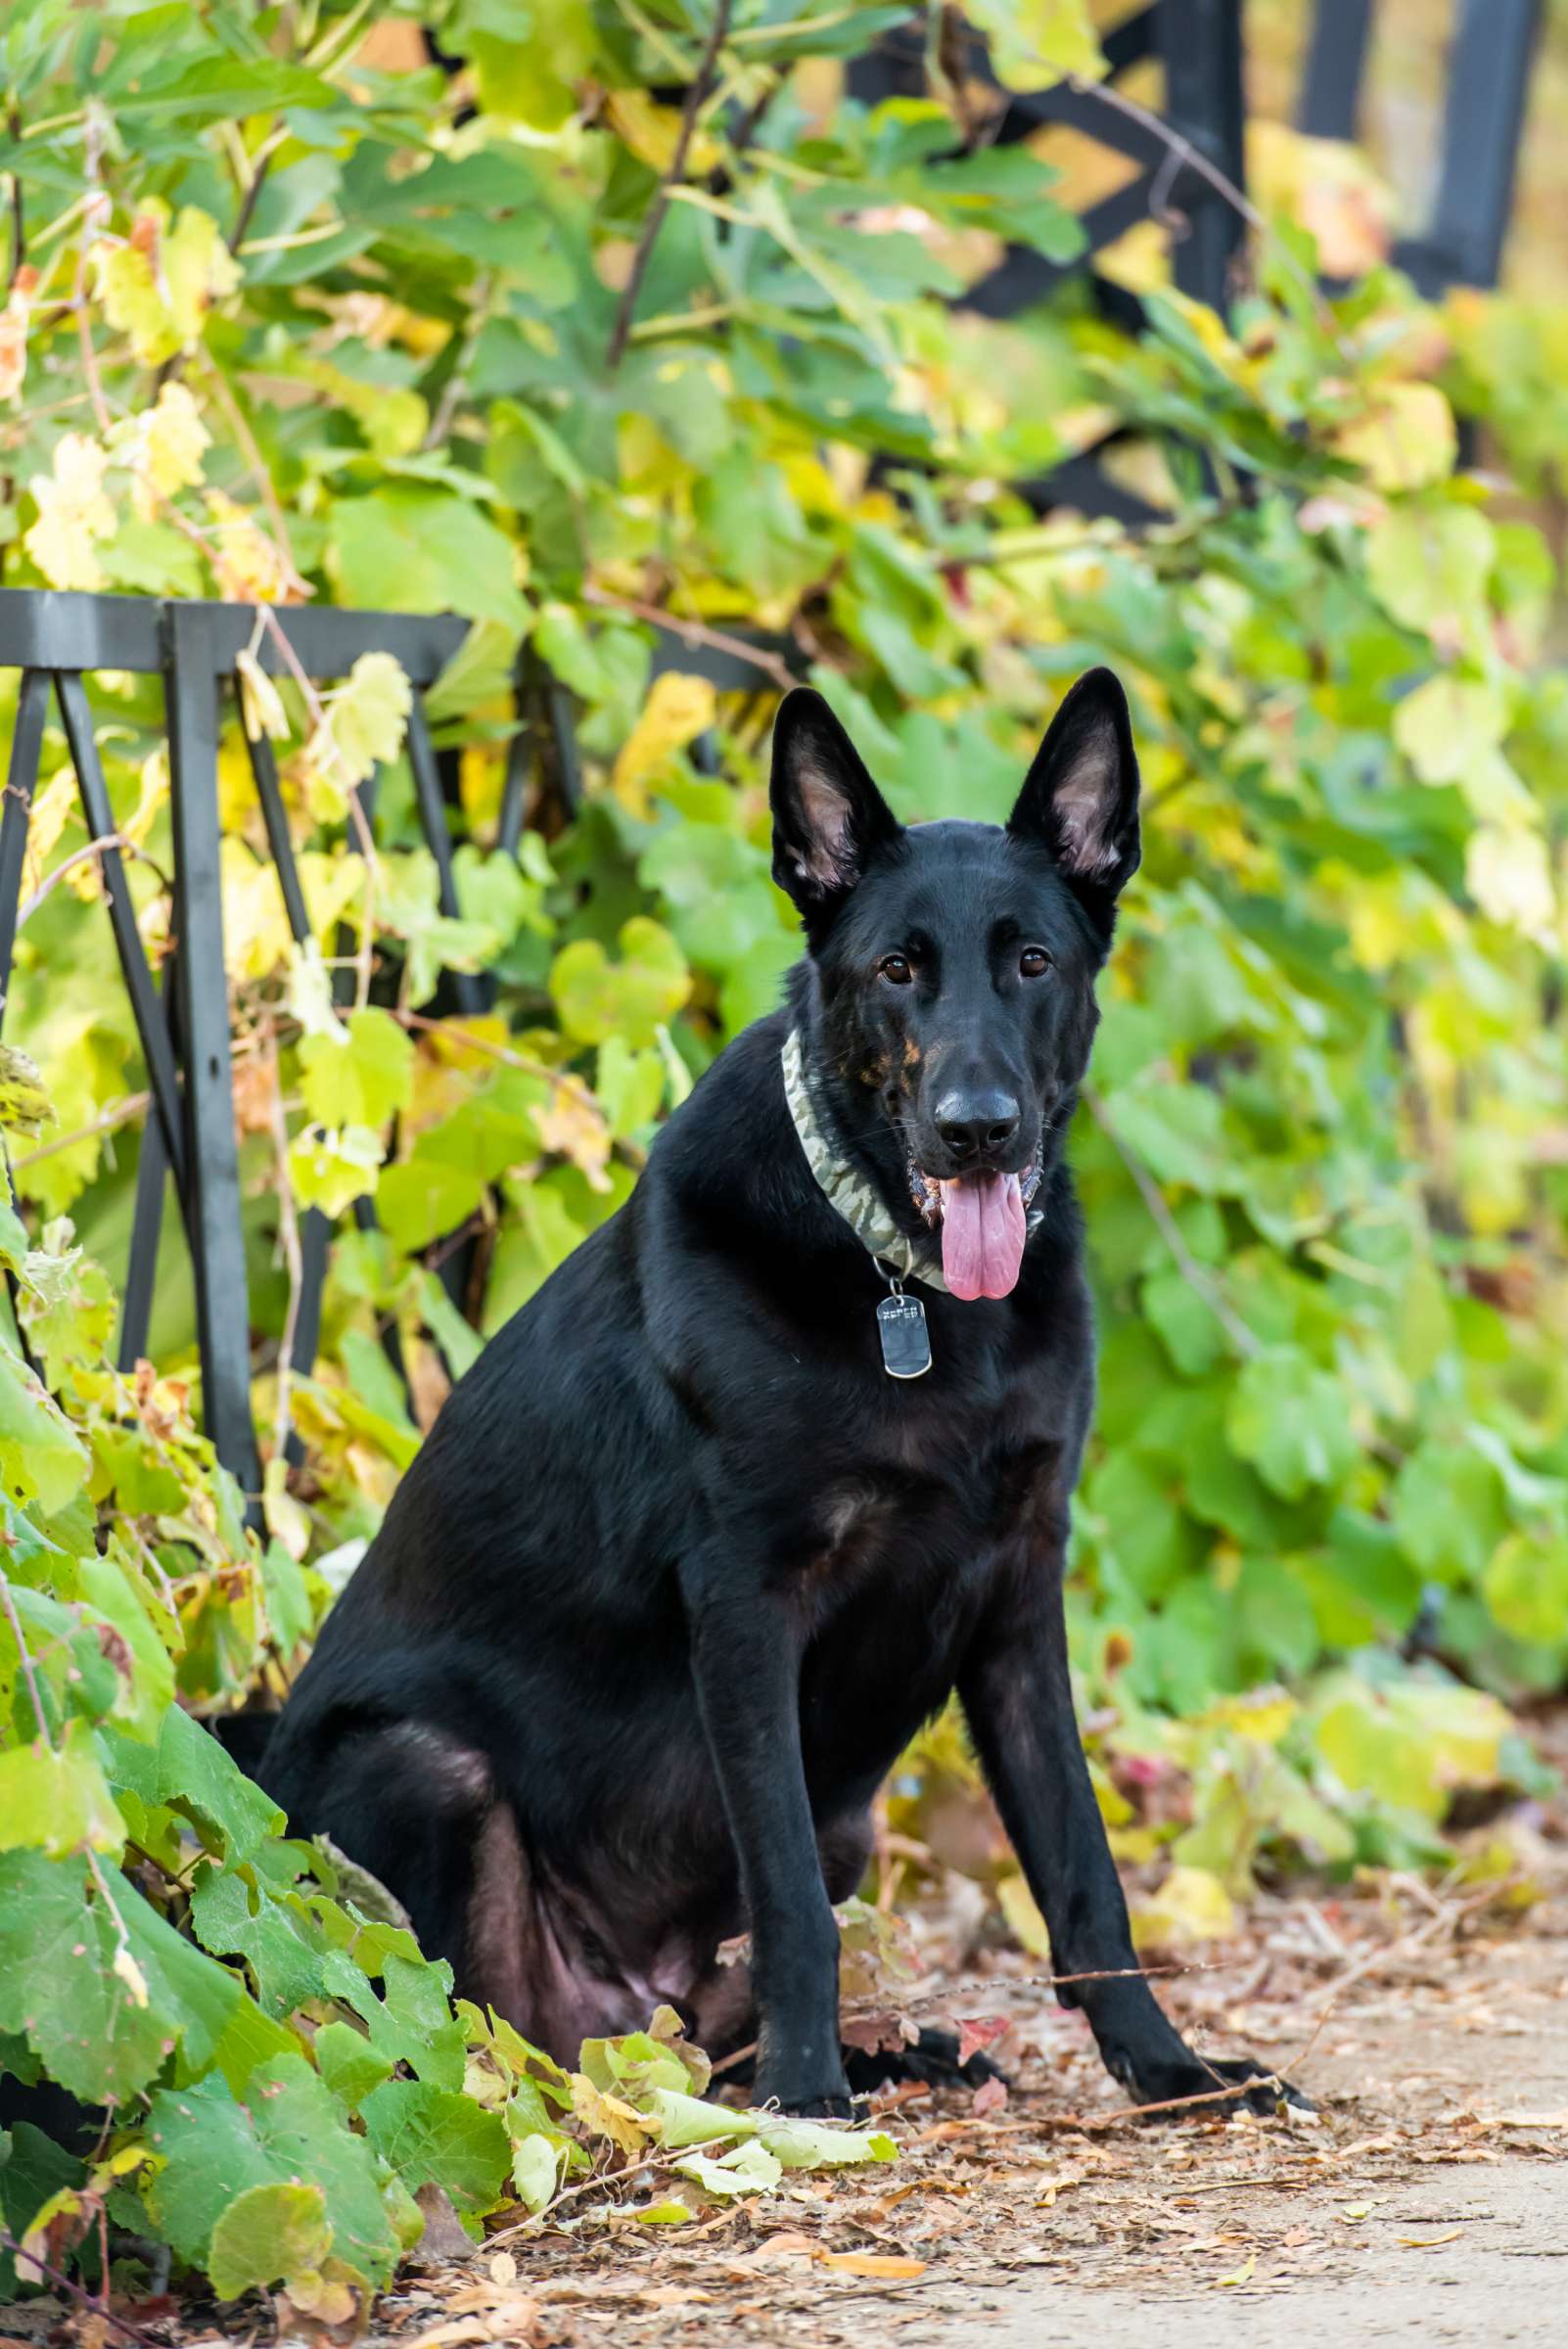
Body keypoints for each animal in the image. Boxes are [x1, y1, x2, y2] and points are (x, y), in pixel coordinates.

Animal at [266, 671, 1295, 2123]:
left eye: (1032, 962)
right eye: (896, 969)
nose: (977, 1129)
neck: (908, 1293)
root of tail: (625, 2018)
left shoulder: (1018, 1591)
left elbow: (1082, 1872)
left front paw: (1168, 2073)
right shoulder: (747, 1604)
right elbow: (792, 1897)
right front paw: (811, 2103)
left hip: (846, 1821)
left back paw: (885, 2055)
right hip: (423, 1772)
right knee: (473, 2034)